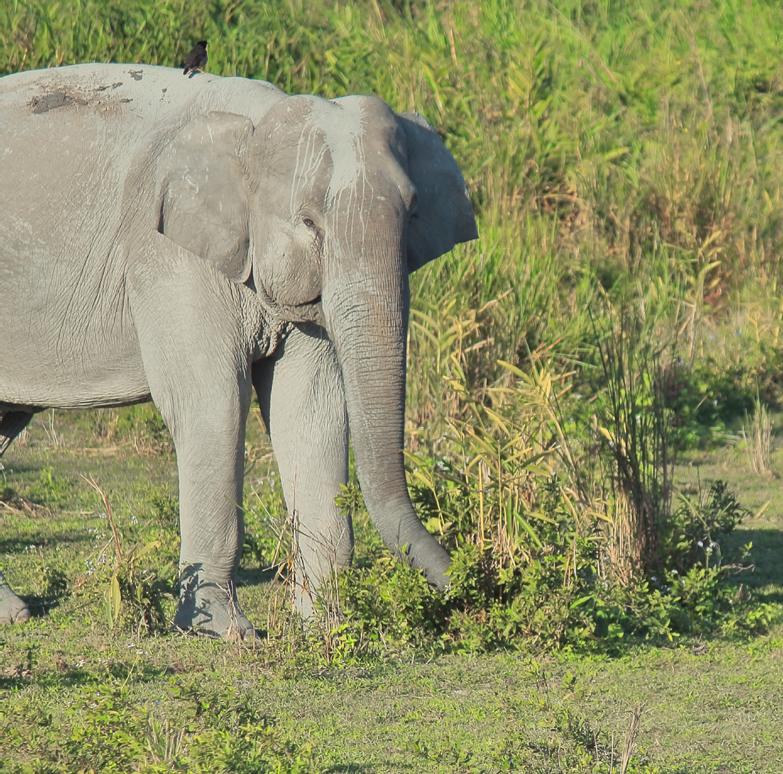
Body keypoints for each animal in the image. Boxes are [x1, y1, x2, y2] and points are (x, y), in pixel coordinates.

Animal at [0, 63, 477, 637]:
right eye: (309, 222)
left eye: (413, 213)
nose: (471, 586)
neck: (255, 124)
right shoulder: (166, 250)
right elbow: (214, 402)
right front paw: (226, 632)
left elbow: (313, 411)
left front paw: (326, 628)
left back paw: (13, 612)